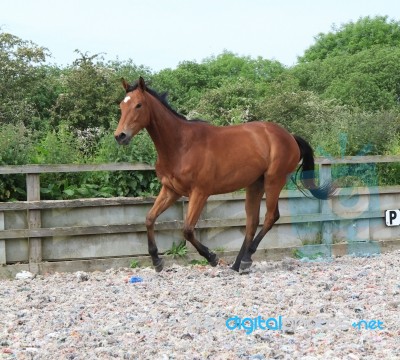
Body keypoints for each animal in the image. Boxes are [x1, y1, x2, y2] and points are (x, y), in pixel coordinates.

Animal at [114, 77, 336, 272]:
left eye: (139, 105)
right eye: (121, 106)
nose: (120, 136)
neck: (181, 145)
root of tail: (289, 136)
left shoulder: (200, 193)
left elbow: (187, 229)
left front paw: (212, 257)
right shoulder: (171, 190)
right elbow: (149, 219)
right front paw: (157, 261)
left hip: (274, 180)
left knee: (271, 216)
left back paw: (246, 259)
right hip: (255, 184)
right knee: (251, 222)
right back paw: (238, 264)